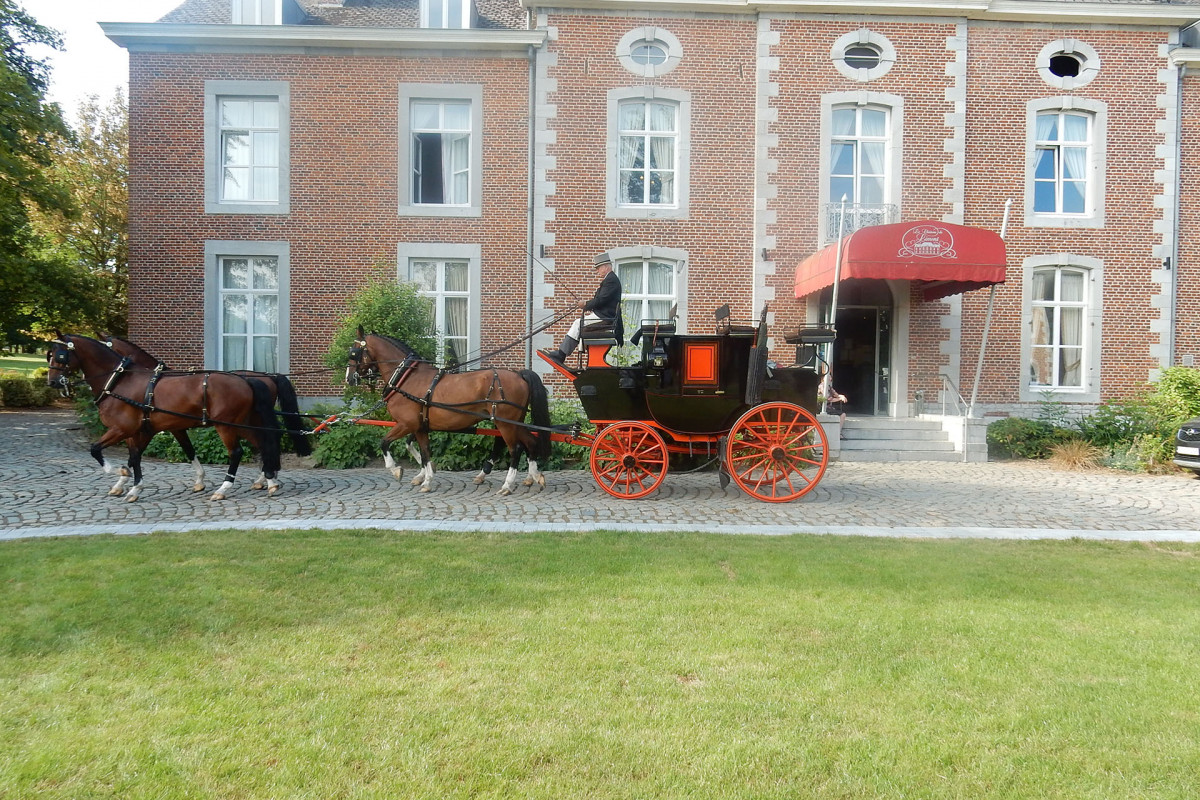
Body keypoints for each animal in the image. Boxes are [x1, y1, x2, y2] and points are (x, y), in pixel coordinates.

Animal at [48, 331, 282, 501]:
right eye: (49, 355)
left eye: (60, 355)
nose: (52, 382)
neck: (119, 383)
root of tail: (247, 380)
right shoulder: (145, 430)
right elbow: (138, 456)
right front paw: (129, 486)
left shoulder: (123, 429)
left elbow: (97, 450)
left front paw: (122, 476)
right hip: (241, 423)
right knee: (264, 443)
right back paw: (269, 480)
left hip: (226, 425)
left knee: (237, 452)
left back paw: (225, 488)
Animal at [102, 333, 312, 494]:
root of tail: (270, 376)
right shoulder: (171, 428)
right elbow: (185, 450)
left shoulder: (154, 428)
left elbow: (136, 454)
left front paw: (124, 481)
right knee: (266, 440)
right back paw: (266, 477)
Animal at [348, 326, 552, 494]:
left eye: (354, 352)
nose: (349, 378)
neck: (406, 378)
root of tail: (519, 374)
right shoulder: (419, 427)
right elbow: (424, 452)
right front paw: (427, 479)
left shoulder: (406, 424)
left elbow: (384, 443)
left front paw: (397, 470)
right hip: (514, 422)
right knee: (530, 442)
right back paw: (534, 476)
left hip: (505, 423)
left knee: (515, 449)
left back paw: (507, 485)